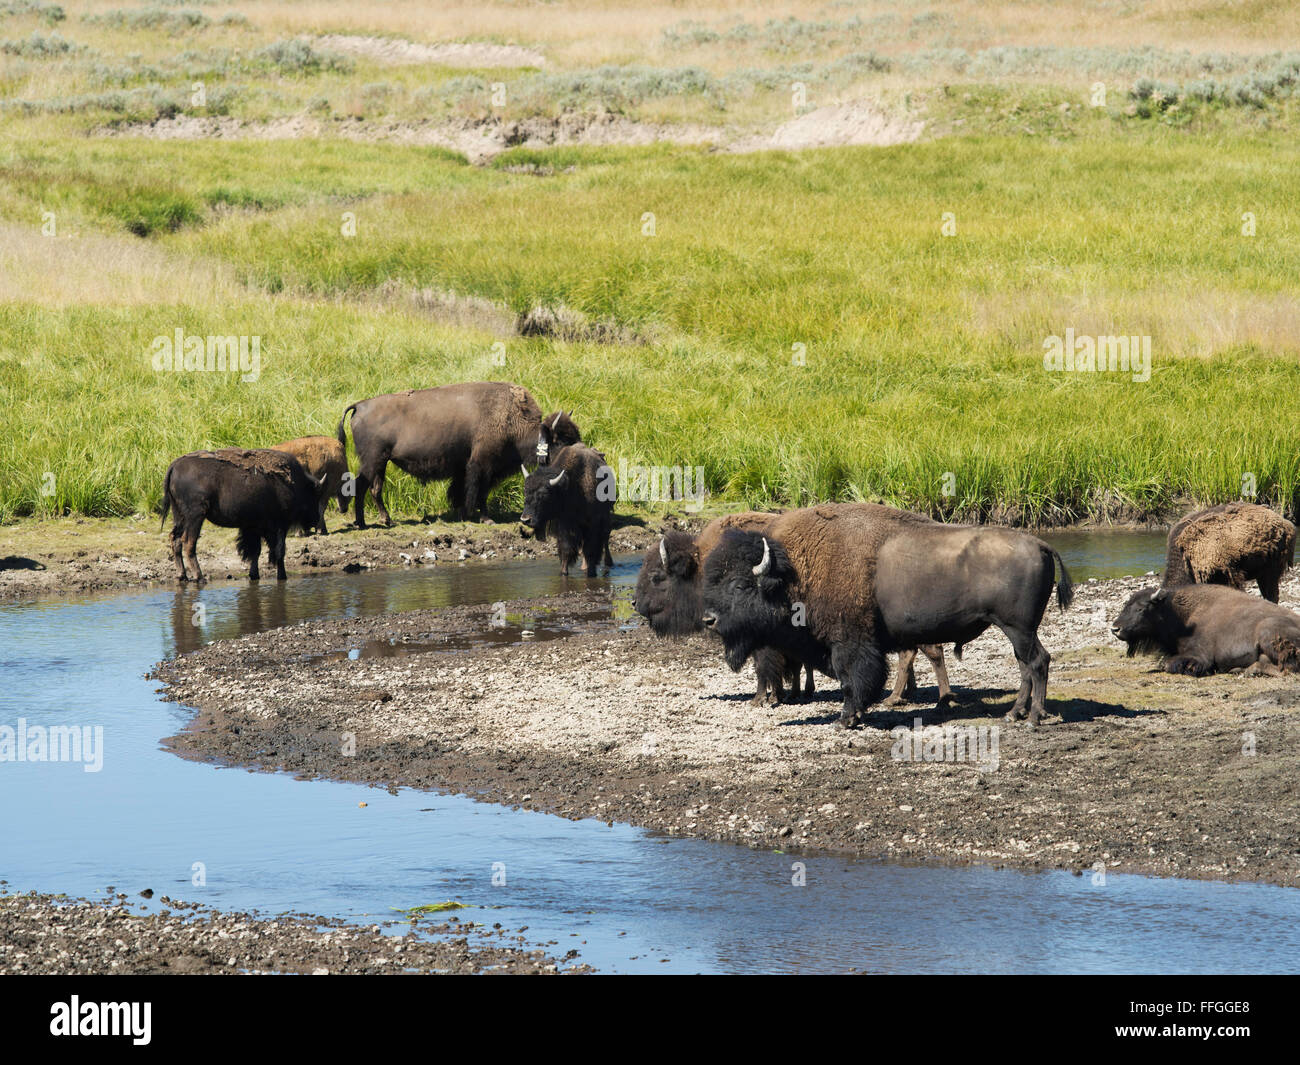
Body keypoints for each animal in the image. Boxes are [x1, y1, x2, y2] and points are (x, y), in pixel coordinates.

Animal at [160, 449, 322, 582]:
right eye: (314, 496)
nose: (315, 520)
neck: (295, 482)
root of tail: (174, 466)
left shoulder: (253, 526)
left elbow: (255, 551)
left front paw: (254, 575)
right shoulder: (279, 525)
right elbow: (278, 551)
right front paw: (282, 576)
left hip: (179, 516)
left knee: (175, 539)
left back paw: (182, 576)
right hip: (196, 516)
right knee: (189, 543)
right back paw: (199, 577)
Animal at [336, 382, 580, 528]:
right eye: (560, 441)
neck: (512, 419)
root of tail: (360, 405)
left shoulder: (469, 467)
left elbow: (463, 490)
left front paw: (464, 513)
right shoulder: (483, 465)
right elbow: (479, 491)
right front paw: (484, 518)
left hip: (377, 462)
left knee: (371, 488)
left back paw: (375, 521)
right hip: (373, 461)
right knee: (365, 487)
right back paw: (372, 522)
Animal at [519, 445, 614, 577]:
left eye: (544, 494)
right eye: (525, 491)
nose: (525, 519)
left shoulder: (593, 524)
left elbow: (590, 550)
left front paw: (591, 574)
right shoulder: (564, 526)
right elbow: (566, 549)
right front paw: (563, 573)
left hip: (605, 517)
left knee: (605, 537)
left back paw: (608, 563)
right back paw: (584, 566)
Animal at [701, 510, 1073, 727]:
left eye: (740, 584)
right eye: (713, 580)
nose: (709, 620)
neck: (793, 572)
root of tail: (1040, 544)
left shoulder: (849, 643)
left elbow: (851, 680)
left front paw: (846, 719)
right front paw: (856, 714)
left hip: (1018, 628)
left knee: (1036, 662)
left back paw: (1033, 717)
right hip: (1019, 631)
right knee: (1027, 666)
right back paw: (1014, 713)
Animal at [1113, 583, 1300, 675]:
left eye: (1141, 608)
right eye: (1126, 605)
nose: (1115, 628)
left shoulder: (1200, 656)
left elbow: (1168, 664)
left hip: (1267, 632)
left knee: (1288, 668)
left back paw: (1248, 671)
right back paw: (1241, 670)